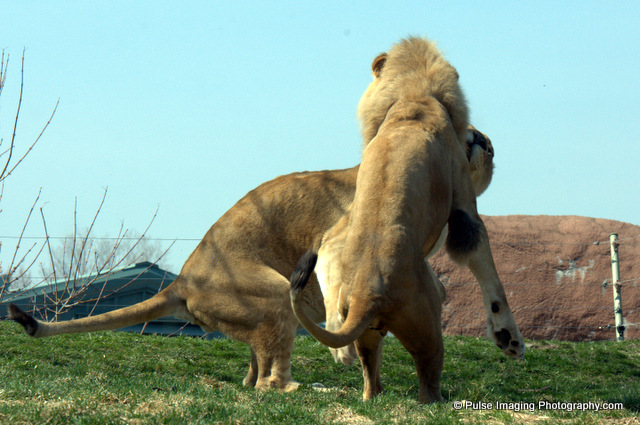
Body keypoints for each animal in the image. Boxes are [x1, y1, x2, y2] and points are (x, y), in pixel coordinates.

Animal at [289, 37, 523, 404]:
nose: (486, 143)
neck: (414, 99)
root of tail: (368, 295)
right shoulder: (464, 206)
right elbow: (488, 272)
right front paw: (508, 338)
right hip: (426, 327)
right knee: (428, 378)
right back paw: (440, 401)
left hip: (367, 330)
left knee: (370, 376)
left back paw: (373, 395)